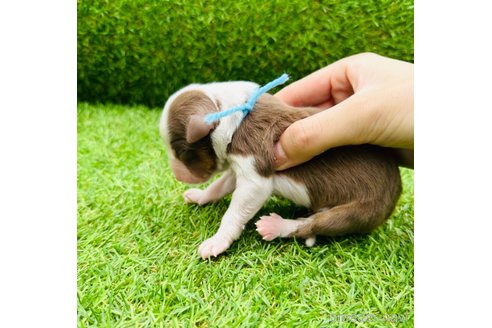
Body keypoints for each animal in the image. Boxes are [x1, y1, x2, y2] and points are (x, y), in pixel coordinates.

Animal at [160, 80, 402, 258]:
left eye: (182, 153)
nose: (176, 175)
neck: (233, 116)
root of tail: (398, 188)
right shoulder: (240, 167)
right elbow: (219, 186)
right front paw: (200, 196)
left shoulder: (254, 171)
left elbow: (234, 211)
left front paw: (217, 241)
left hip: (362, 210)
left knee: (314, 225)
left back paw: (275, 226)